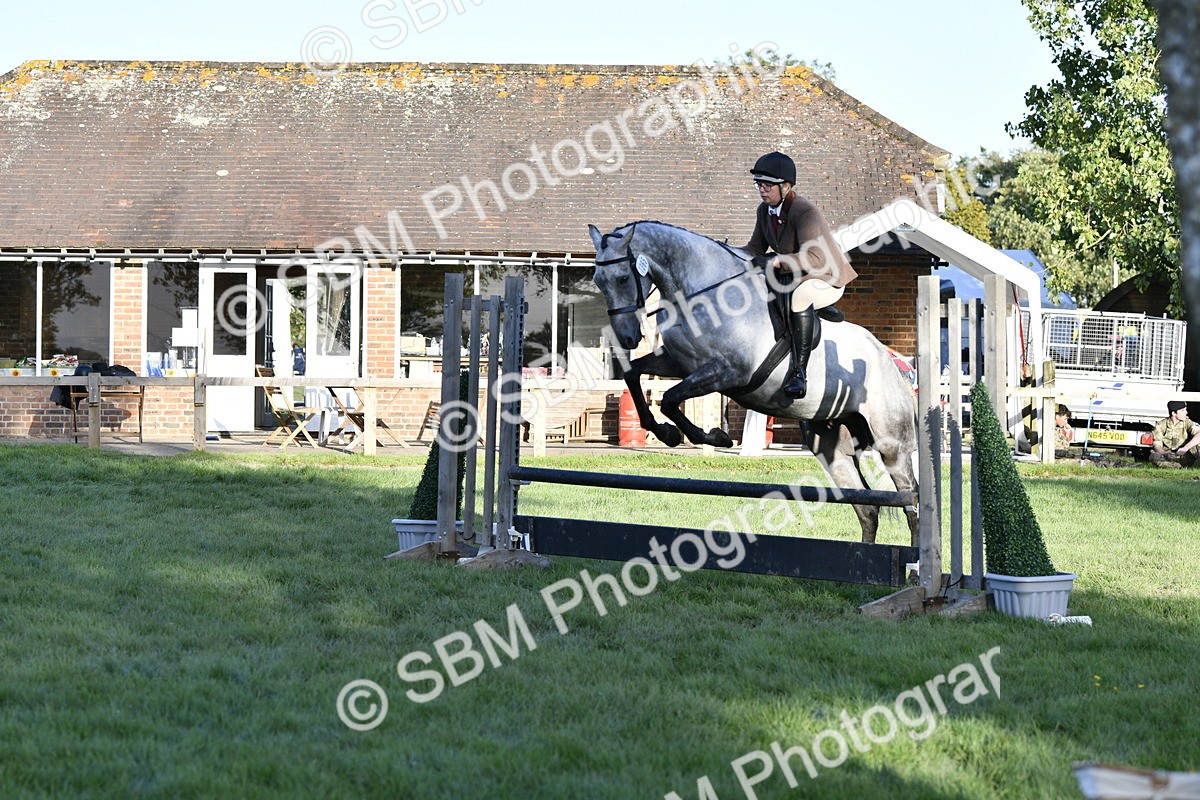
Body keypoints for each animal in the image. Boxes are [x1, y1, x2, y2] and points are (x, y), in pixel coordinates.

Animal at [587, 220, 919, 546]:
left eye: (622, 279)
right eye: (598, 281)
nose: (627, 338)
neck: (699, 293)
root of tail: (893, 363)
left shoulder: (730, 372)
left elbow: (669, 399)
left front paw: (712, 437)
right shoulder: (679, 363)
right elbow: (634, 376)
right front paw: (668, 432)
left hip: (892, 445)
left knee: (911, 501)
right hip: (831, 447)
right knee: (868, 508)